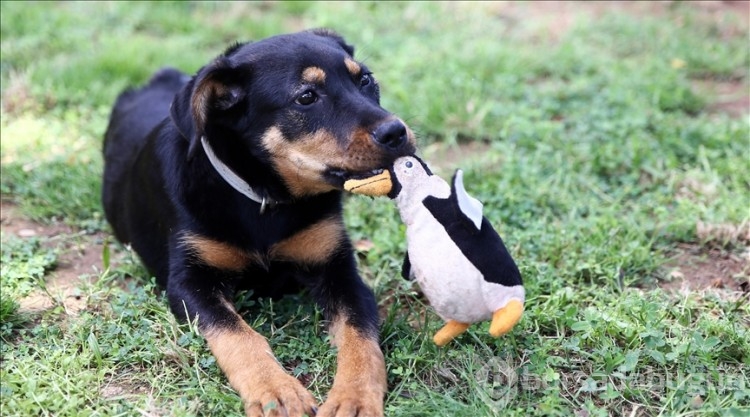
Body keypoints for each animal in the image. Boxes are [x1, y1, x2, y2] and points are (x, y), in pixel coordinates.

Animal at [101, 27, 418, 414]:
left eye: (366, 80)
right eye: (306, 97)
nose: (396, 132)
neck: (265, 198)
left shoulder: (339, 269)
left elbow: (360, 335)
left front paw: (354, 398)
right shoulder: (189, 281)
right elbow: (237, 334)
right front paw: (276, 392)